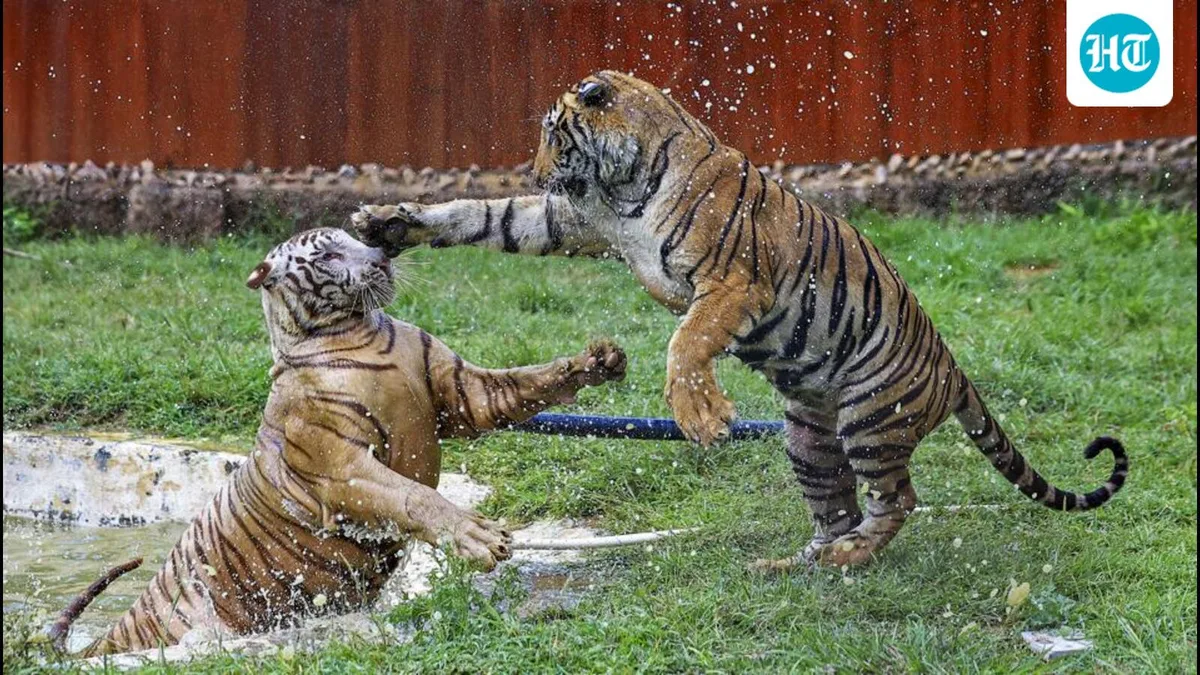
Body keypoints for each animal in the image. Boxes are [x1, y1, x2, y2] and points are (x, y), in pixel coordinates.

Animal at [48, 227, 627, 655]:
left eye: (356, 238)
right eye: (328, 253)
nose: (385, 253)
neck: (361, 331)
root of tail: (109, 637)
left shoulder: (463, 393)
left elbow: (527, 380)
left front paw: (597, 359)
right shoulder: (345, 470)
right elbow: (417, 498)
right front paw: (479, 538)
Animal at [351, 70, 1128, 570]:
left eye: (552, 136)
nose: (534, 170)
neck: (620, 186)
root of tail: (951, 366)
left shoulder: (732, 282)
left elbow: (685, 340)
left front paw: (701, 414)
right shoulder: (570, 220)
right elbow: (482, 216)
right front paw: (389, 219)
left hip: (873, 417)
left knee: (899, 499)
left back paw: (849, 553)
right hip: (810, 440)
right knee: (842, 505)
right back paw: (802, 561)